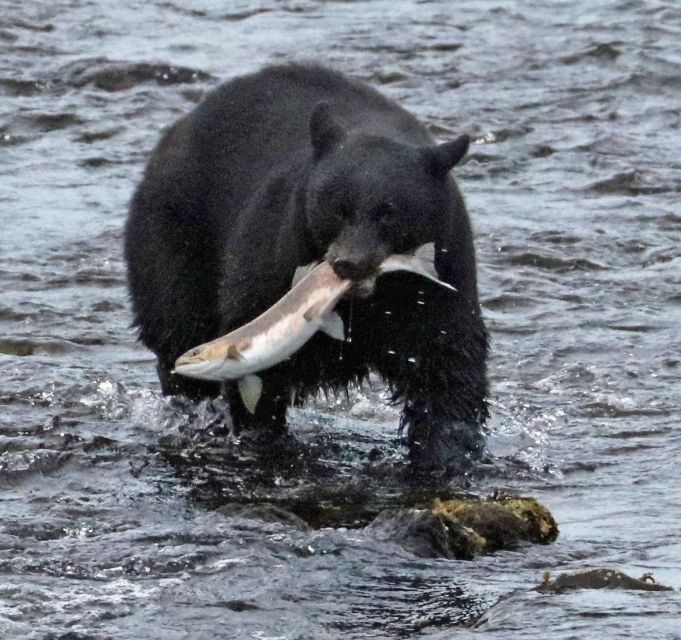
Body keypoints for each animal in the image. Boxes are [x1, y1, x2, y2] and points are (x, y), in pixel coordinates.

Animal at [125, 65, 488, 470]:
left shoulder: (444, 270)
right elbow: (259, 363)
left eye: (390, 213)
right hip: (173, 241)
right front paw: (263, 439)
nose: (349, 263)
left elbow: (447, 361)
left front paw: (447, 449)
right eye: (338, 208)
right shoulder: (278, 250)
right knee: (177, 332)